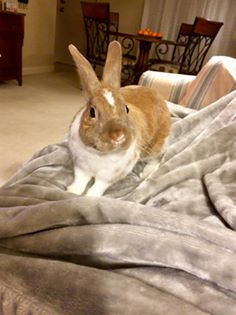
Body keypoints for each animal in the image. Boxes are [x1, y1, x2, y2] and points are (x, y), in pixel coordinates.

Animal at [66, 40, 170, 196]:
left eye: (126, 108)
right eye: (92, 112)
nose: (118, 136)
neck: (98, 154)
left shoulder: (109, 175)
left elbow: (98, 186)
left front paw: (90, 196)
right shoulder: (81, 167)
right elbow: (80, 180)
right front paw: (72, 191)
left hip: (155, 146)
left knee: (157, 159)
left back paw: (146, 174)